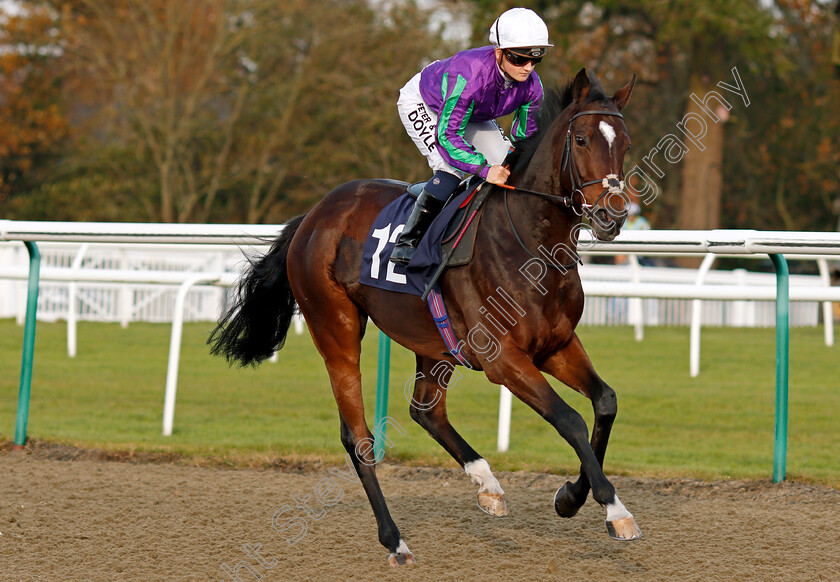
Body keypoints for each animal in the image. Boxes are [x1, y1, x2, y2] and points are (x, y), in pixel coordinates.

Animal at [213, 67, 640, 564]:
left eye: (625, 142)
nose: (612, 216)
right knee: (358, 437)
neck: (529, 242)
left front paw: (571, 497)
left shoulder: (556, 345)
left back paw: (486, 483)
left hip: (431, 341)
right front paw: (614, 510)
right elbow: (570, 419)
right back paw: (395, 540)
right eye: (583, 140)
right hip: (335, 327)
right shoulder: (503, 359)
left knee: (426, 410)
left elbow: (605, 402)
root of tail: (314, 215)